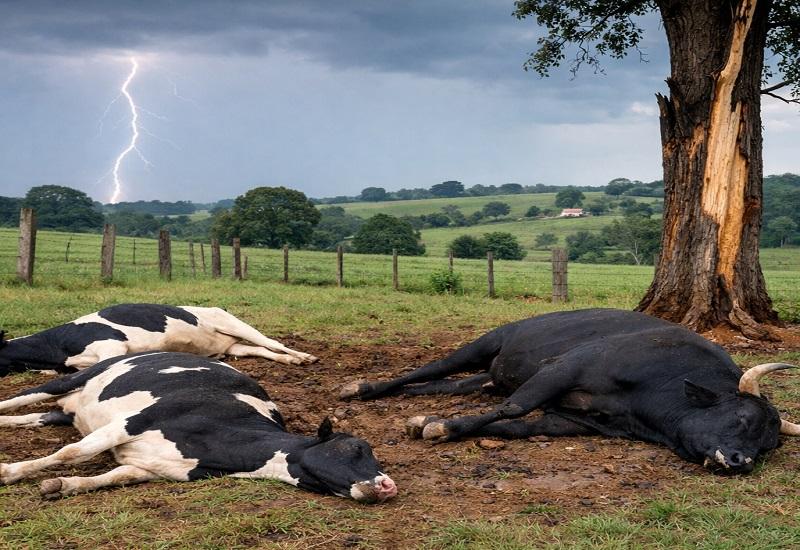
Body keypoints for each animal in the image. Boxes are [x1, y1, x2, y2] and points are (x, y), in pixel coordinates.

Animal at [0, 351, 397, 502]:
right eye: (356, 448)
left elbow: (112, 477)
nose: (388, 485)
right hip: (74, 378)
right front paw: (8, 472)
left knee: (37, 416)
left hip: (71, 412)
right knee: (20, 399)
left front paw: (62, 485)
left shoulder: (152, 466)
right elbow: (71, 452)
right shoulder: (134, 421)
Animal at [340, 308, 800, 474]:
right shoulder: (562, 370)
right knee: (429, 368)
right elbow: (514, 408)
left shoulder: (572, 420)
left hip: (487, 376)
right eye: (743, 417)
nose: (741, 461)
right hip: (484, 344)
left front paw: (437, 422)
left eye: (768, 447)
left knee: (443, 383)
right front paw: (441, 427)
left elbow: (514, 426)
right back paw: (362, 387)